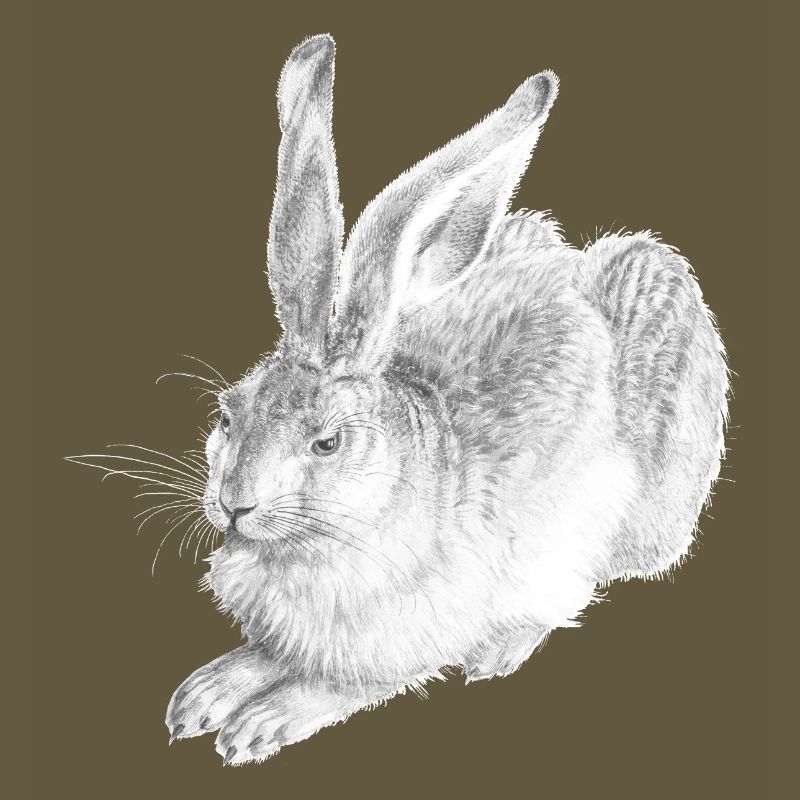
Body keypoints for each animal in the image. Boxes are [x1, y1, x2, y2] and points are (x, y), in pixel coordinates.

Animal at [71, 33, 728, 765]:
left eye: (327, 442)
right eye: (226, 415)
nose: (234, 505)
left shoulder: (415, 631)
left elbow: (343, 681)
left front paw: (259, 722)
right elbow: (267, 653)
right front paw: (206, 693)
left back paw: (501, 651)